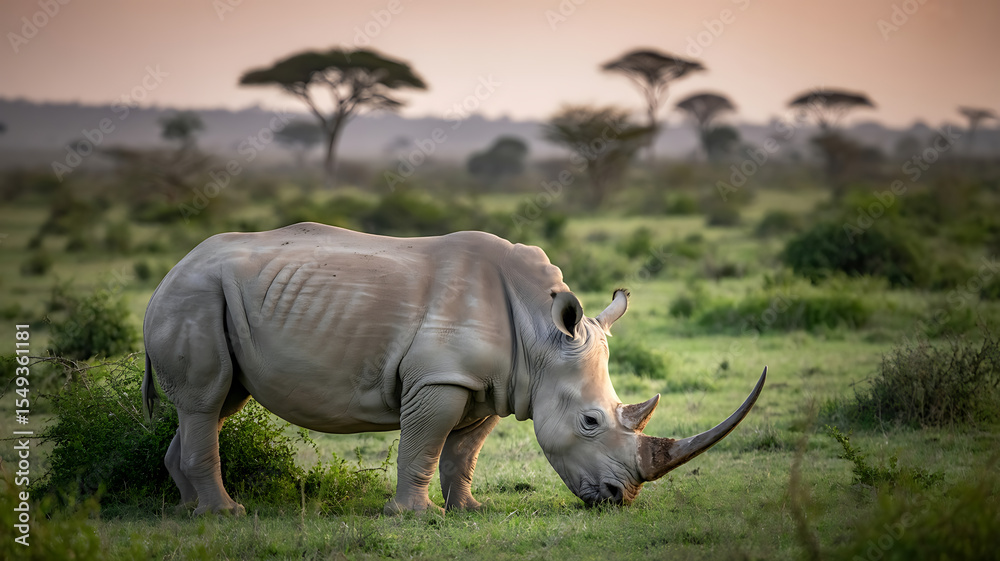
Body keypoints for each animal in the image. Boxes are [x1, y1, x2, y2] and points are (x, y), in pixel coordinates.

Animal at [142, 222, 765, 515]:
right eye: (590, 422)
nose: (621, 498)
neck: (541, 335)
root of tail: (170, 270)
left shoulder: (496, 384)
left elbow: (464, 451)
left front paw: (469, 509)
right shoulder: (439, 378)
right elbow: (423, 443)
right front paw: (411, 516)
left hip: (213, 298)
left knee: (218, 403)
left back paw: (190, 511)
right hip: (194, 295)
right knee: (205, 401)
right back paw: (226, 514)